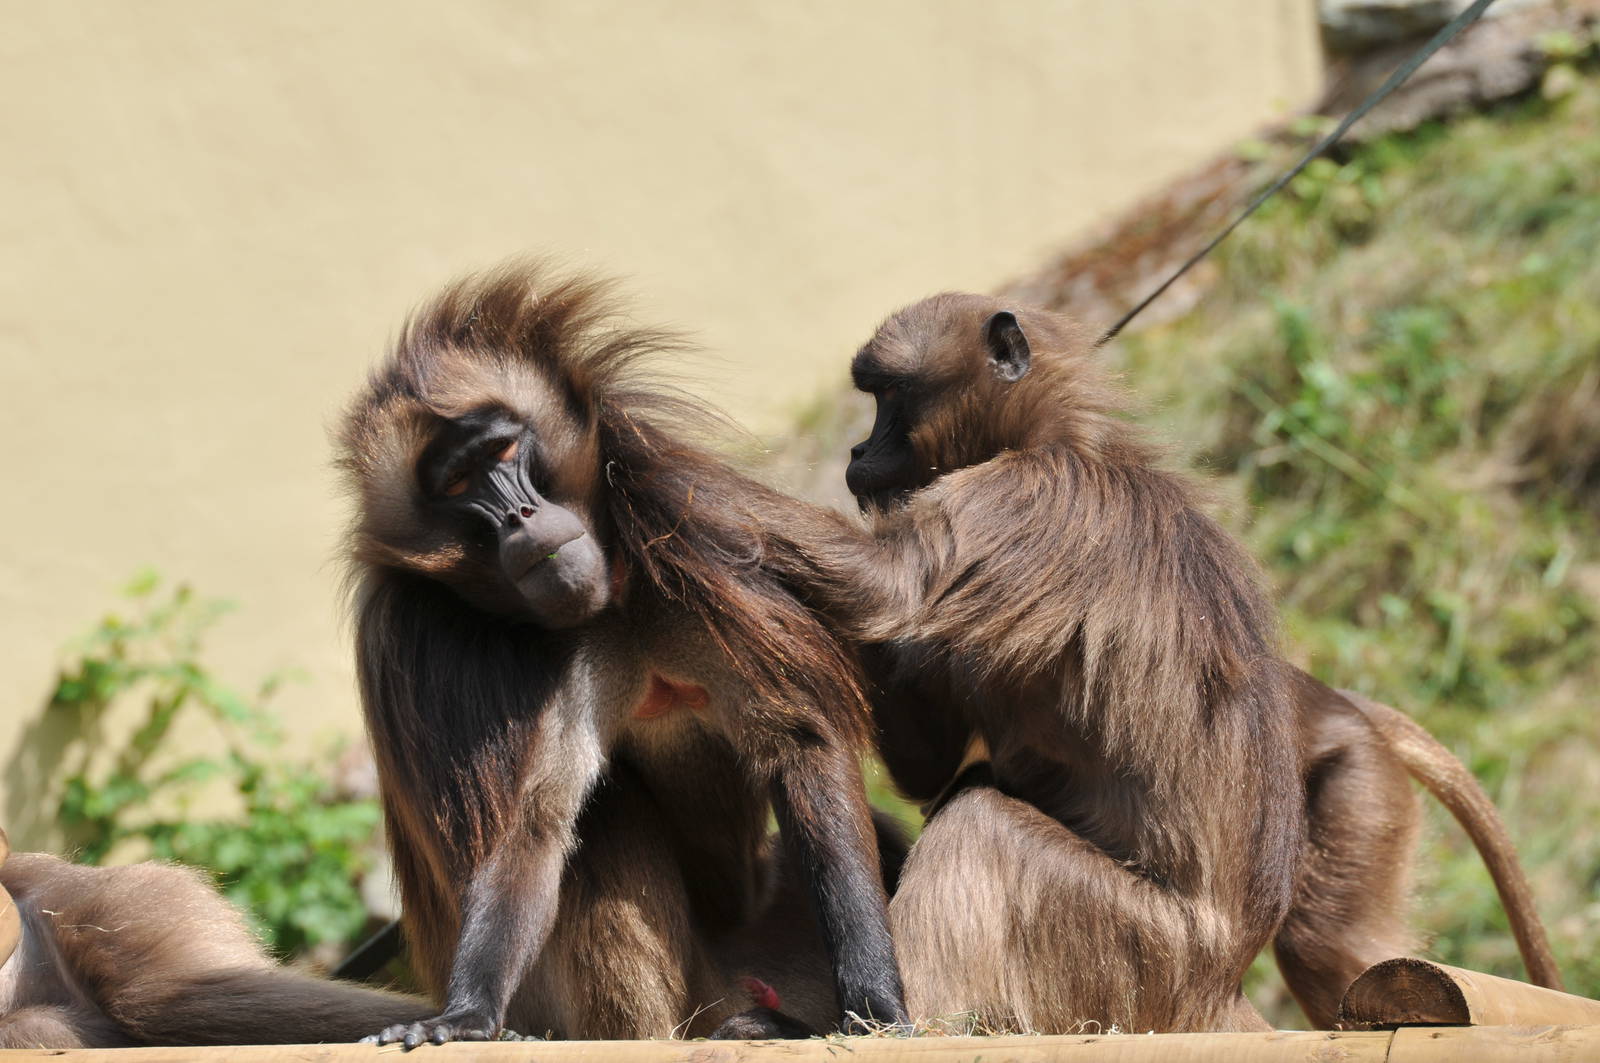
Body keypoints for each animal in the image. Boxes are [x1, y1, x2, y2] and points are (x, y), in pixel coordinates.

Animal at [335, 264, 907, 1046]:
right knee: (604, 816)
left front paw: (874, 1003)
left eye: (501, 453)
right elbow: (538, 819)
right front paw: (466, 1013)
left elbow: (802, 741)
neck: (613, 609)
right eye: (457, 485)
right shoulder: (539, 653)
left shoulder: (687, 555)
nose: (518, 516)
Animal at [767, 292, 1560, 1030]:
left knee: (982, 825)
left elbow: (888, 588)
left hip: (1155, 950)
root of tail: (1219, 983)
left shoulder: (1023, 496)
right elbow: (926, 761)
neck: (1067, 438)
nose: (856, 454)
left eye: (889, 398)